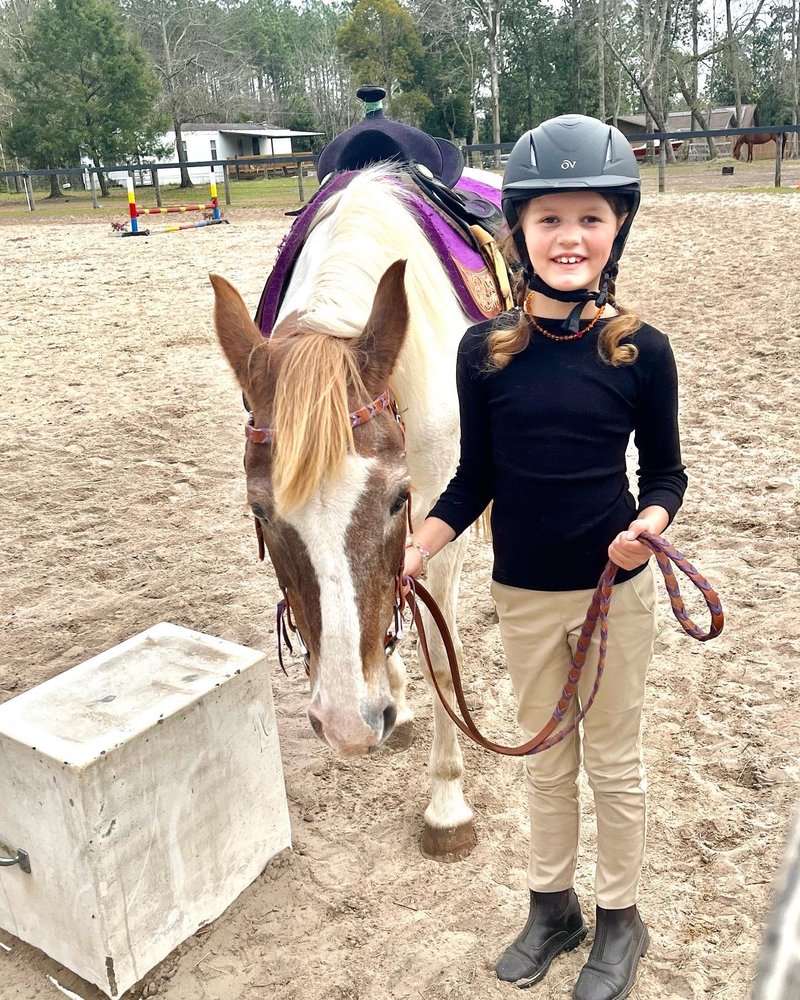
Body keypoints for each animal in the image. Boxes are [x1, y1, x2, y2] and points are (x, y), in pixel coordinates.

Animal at [211, 164, 504, 862]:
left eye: (397, 496)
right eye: (260, 512)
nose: (346, 726)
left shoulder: (441, 516)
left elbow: (440, 648)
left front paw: (447, 805)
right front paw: (393, 698)